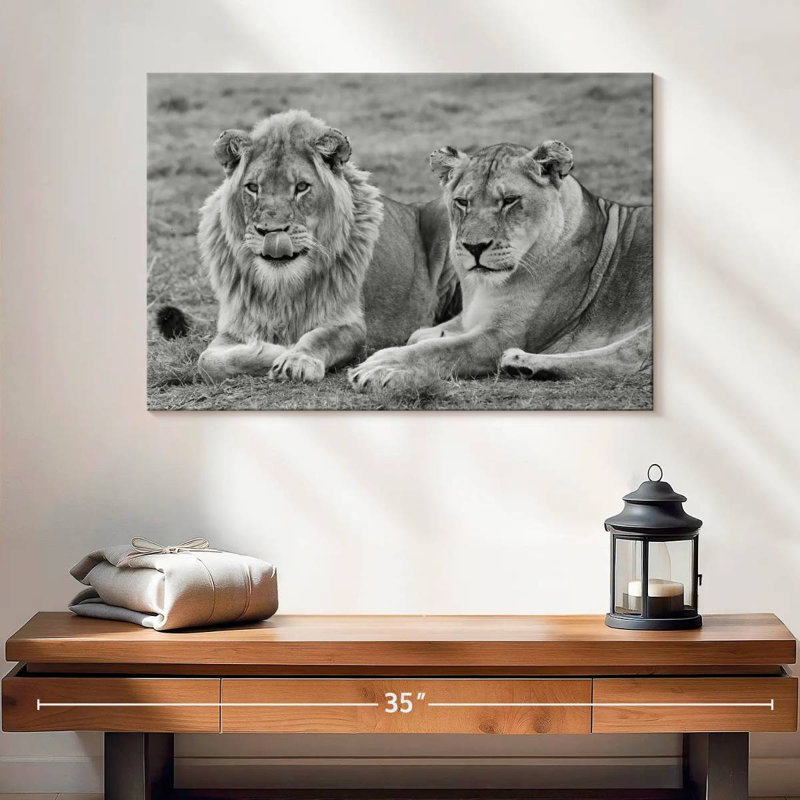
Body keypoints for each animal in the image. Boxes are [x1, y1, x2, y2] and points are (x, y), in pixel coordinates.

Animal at [197, 110, 459, 383]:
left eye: (302, 187)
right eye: (252, 187)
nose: (271, 232)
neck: (281, 285)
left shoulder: (350, 325)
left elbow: (318, 338)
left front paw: (295, 357)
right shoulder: (235, 326)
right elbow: (207, 361)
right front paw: (271, 349)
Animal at [348, 139, 652, 391]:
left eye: (509, 201)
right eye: (462, 202)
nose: (474, 247)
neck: (483, 287)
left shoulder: (504, 335)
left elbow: (439, 350)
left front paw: (383, 365)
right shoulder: (471, 316)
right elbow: (418, 336)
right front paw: (435, 334)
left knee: (627, 356)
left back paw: (520, 361)